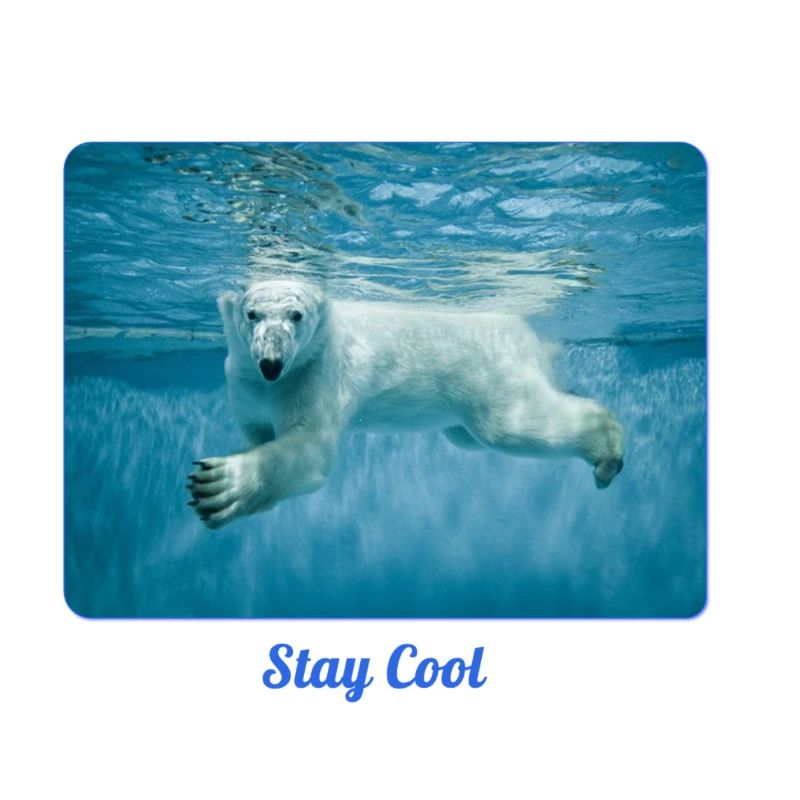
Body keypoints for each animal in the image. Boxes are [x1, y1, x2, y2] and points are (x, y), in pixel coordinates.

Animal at [188, 278, 624, 529]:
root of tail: (524, 332)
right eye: (252, 313)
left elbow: (310, 447)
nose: (271, 363)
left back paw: (607, 449)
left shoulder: (316, 372)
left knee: (509, 426)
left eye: (296, 315)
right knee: (469, 436)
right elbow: (258, 432)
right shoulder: (243, 382)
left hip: (484, 372)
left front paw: (219, 484)